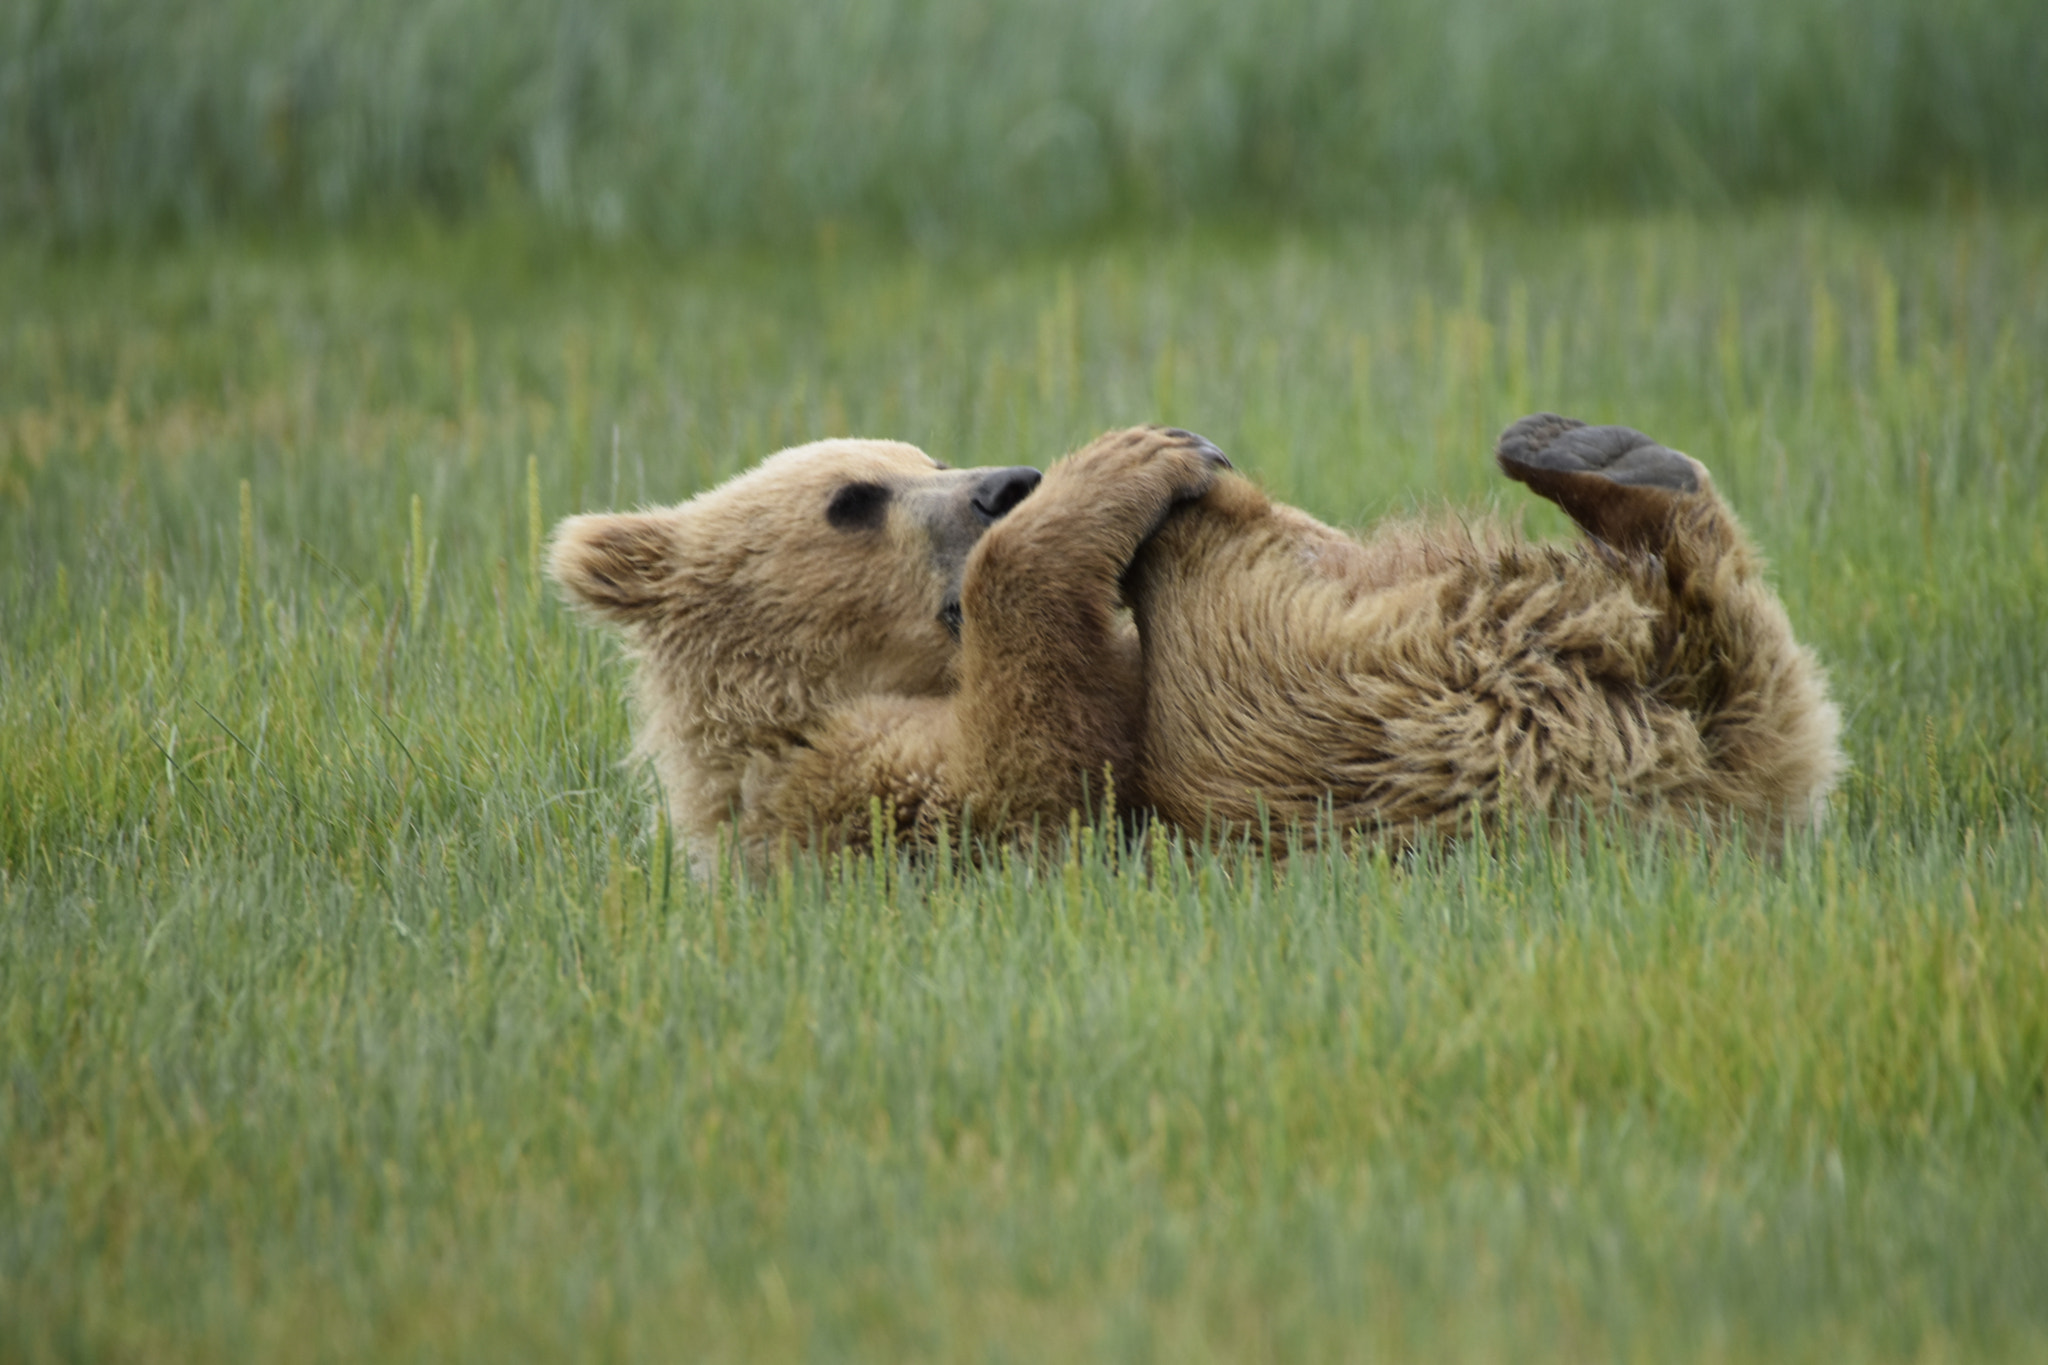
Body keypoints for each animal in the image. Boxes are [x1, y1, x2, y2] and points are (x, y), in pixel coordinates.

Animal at [548, 417, 1843, 871]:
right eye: (850, 498)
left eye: (921, 454)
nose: (1000, 484)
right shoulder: (839, 790)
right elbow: (1028, 776)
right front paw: (1117, 469)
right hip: (1325, 740)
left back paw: (1602, 460)